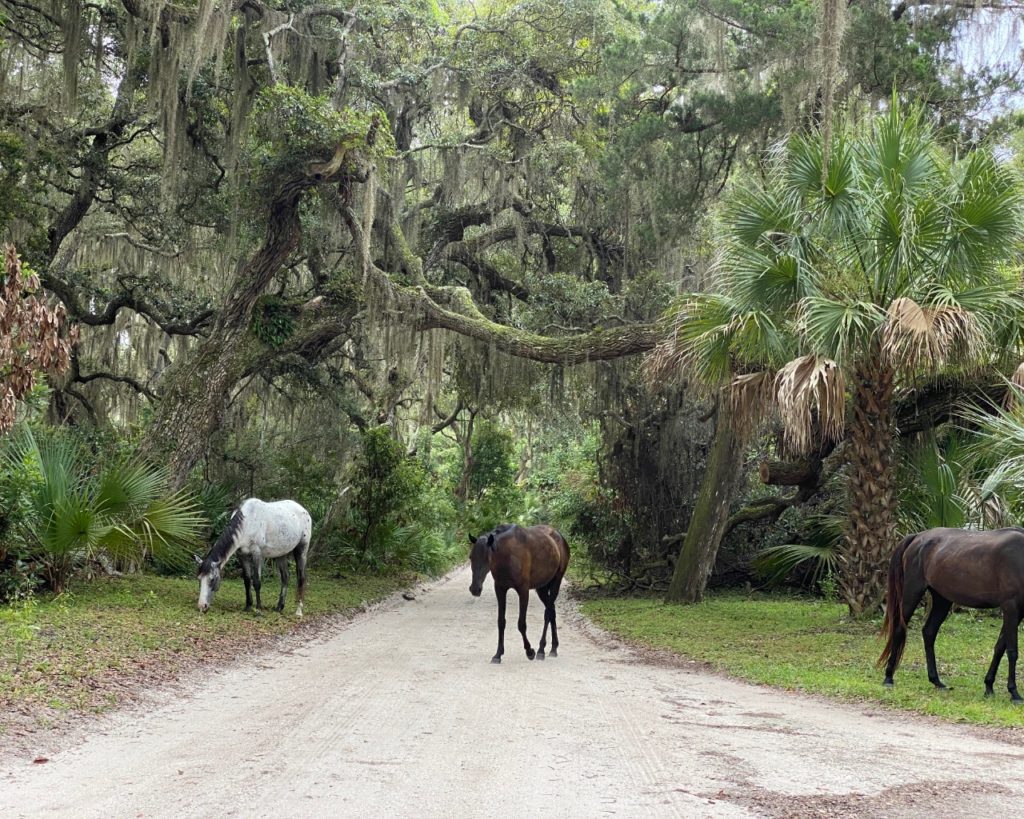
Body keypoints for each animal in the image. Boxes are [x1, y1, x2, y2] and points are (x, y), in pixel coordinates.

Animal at [468, 524, 573, 663]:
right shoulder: (500, 589)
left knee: (548, 613)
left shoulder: (523, 591)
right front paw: (498, 654)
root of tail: (560, 537)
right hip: (542, 588)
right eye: (471, 557)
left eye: (487, 558)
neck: (507, 554)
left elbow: (521, 624)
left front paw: (530, 652)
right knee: (552, 611)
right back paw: (553, 648)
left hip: (556, 582)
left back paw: (541, 650)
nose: (475, 589)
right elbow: (501, 622)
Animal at [876, 528, 1024, 700]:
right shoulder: (1010, 607)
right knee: (899, 629)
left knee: (929, 632)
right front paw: (1014, 692)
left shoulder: (1018, 612)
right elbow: (1012, 651)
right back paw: (888, 678)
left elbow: (1000, 647)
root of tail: (918, 537)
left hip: (942, 600)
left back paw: (936, 681)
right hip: (912, 593)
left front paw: (989, 686)